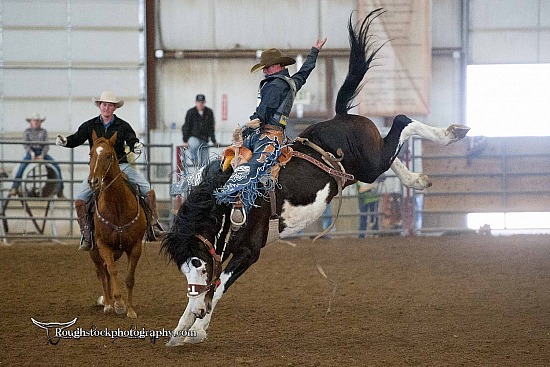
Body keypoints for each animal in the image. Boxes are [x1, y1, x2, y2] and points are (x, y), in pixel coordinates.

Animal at [87, 132, 147, 320]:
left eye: (108, 155)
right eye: (90, 154)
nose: (93, 181)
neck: (117, 206)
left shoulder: (135, 247)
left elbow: (129, 278)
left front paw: (130, 309)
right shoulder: (102, 244)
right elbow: (112, 271)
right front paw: (118, 303)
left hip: (117, 251)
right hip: (94, 251)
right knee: (102, 272)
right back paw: (107, 304)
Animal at [160, 9, 470, 348]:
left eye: (197, 262)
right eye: (184, 267)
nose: (197, 307)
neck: (230, 204)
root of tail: (341, 116)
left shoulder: (249, 252)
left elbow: (218, 287)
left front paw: (198, 328)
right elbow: (209, 289)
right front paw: (181, 328)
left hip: (371, 161)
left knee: (402, 121)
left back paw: (451, 133)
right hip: (369, 163)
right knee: (394, 152)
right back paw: (418, 179)